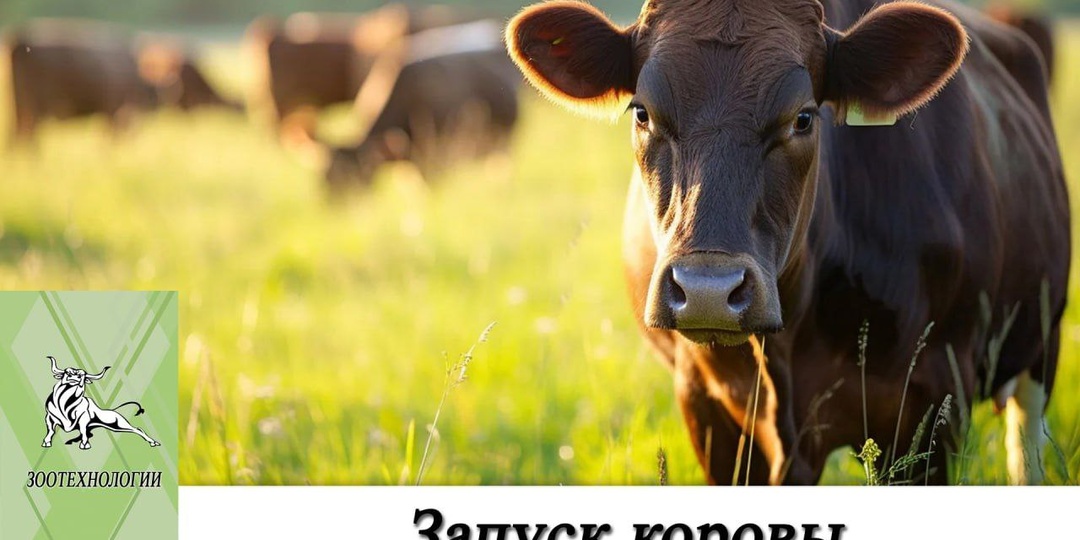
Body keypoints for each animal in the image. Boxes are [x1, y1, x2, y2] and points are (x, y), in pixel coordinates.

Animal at [506, 0, 1069, 485]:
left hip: (1042, 338)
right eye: (642, 113)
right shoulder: (707, 407)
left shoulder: (932, 400)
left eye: (803, 117)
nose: (708, 291)